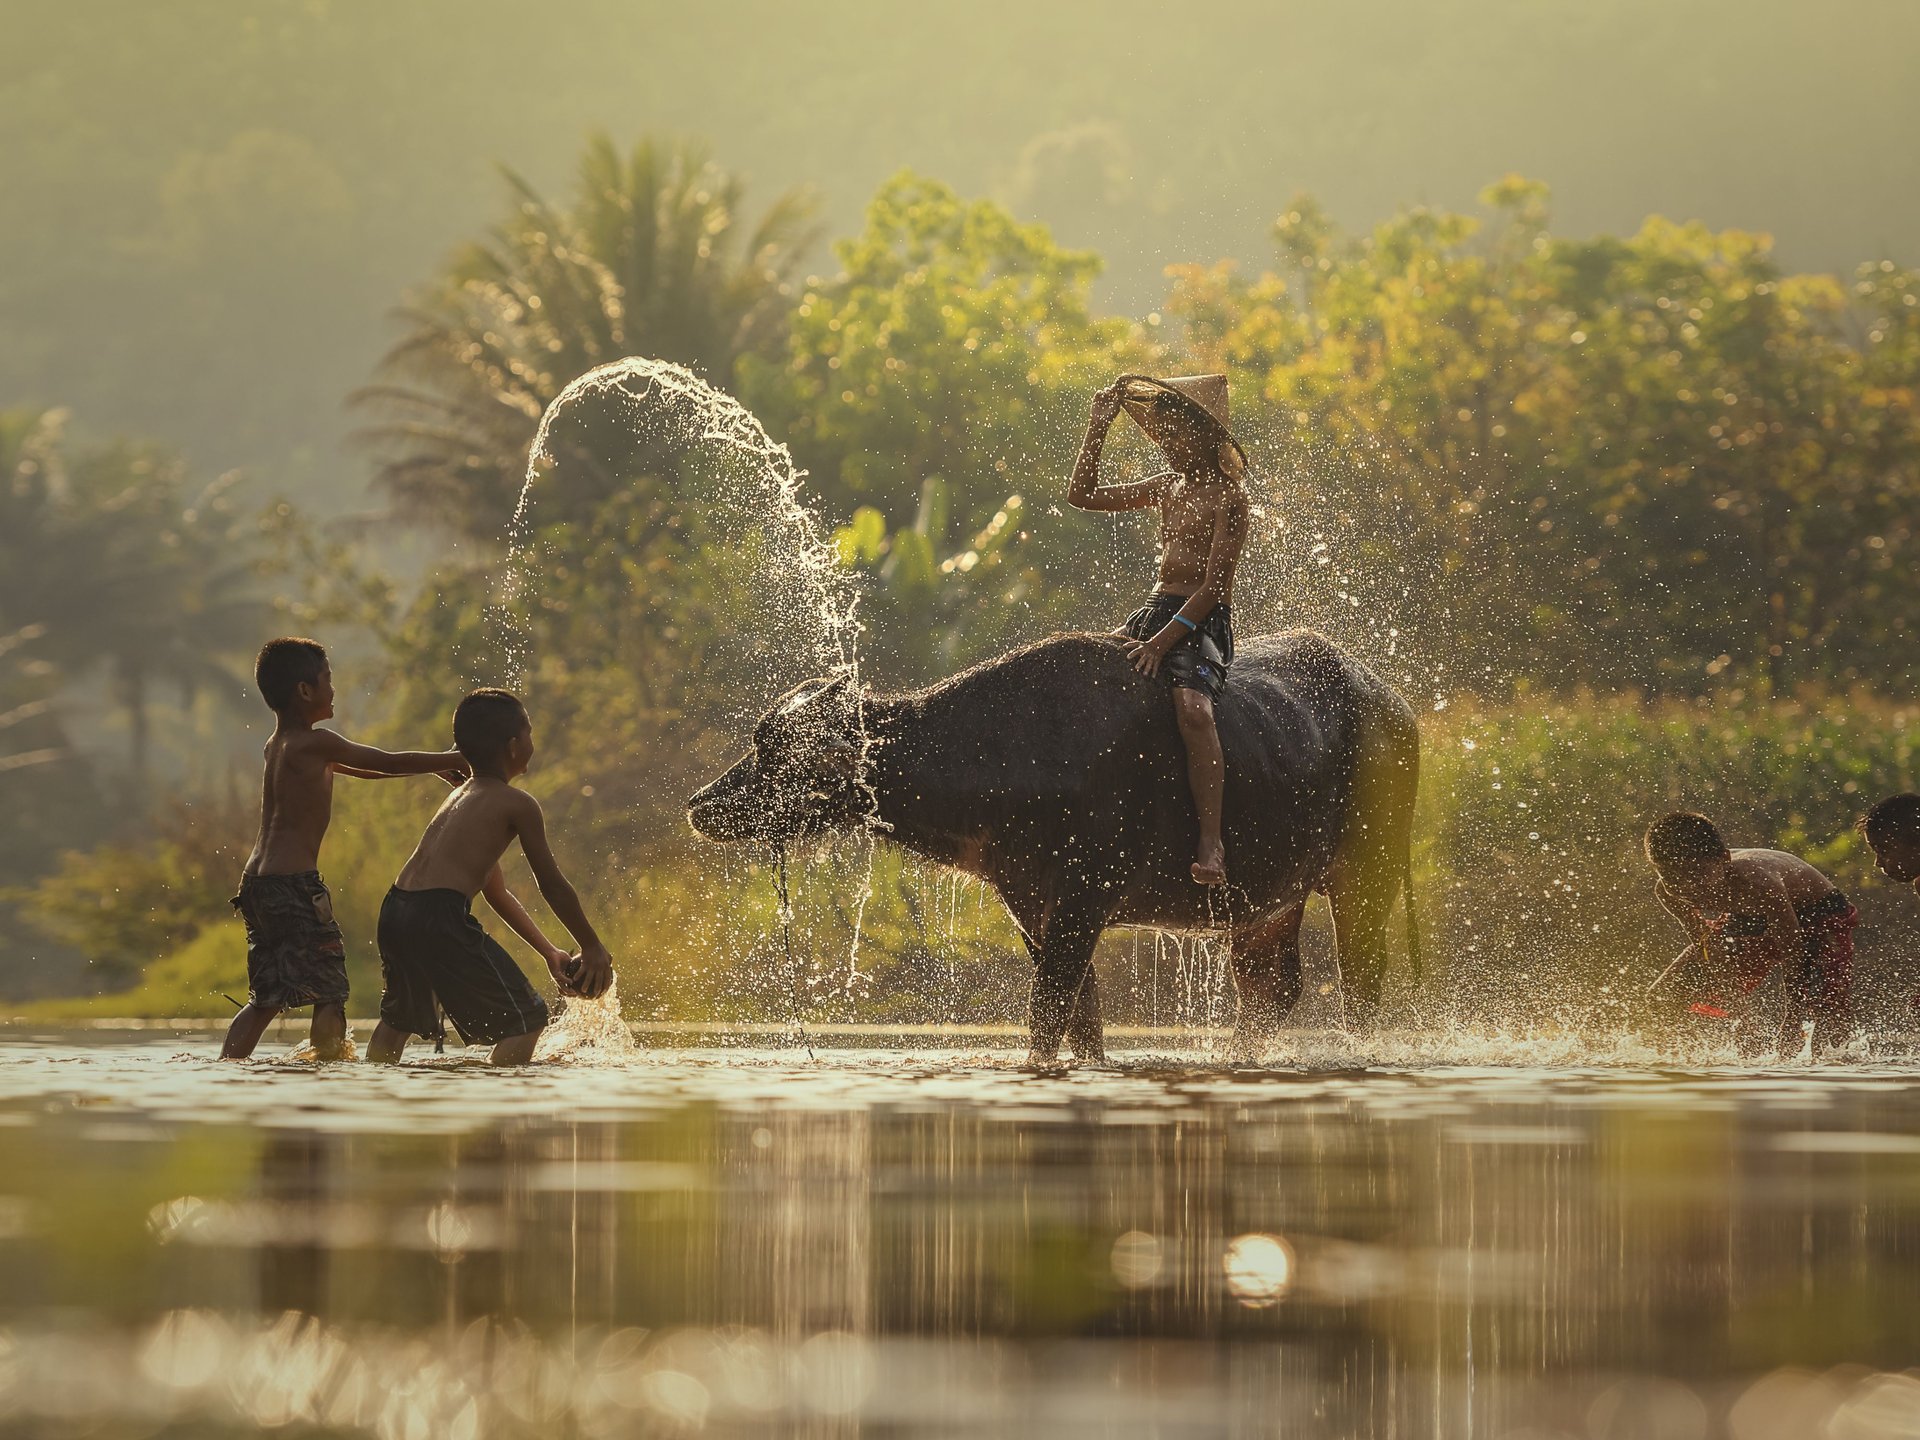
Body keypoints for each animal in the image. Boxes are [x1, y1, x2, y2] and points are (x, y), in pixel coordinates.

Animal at [687, 629, 1413, 1059]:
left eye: (772, 747)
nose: (700, 805)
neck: (1014, 754)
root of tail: (1392, 704)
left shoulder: (1081, 906)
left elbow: (1046, 1018)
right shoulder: (1034, 909)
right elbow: (1081, 1024)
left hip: (1366, 878)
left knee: (1360, 983)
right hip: (1266, 901)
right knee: (1271, 989)